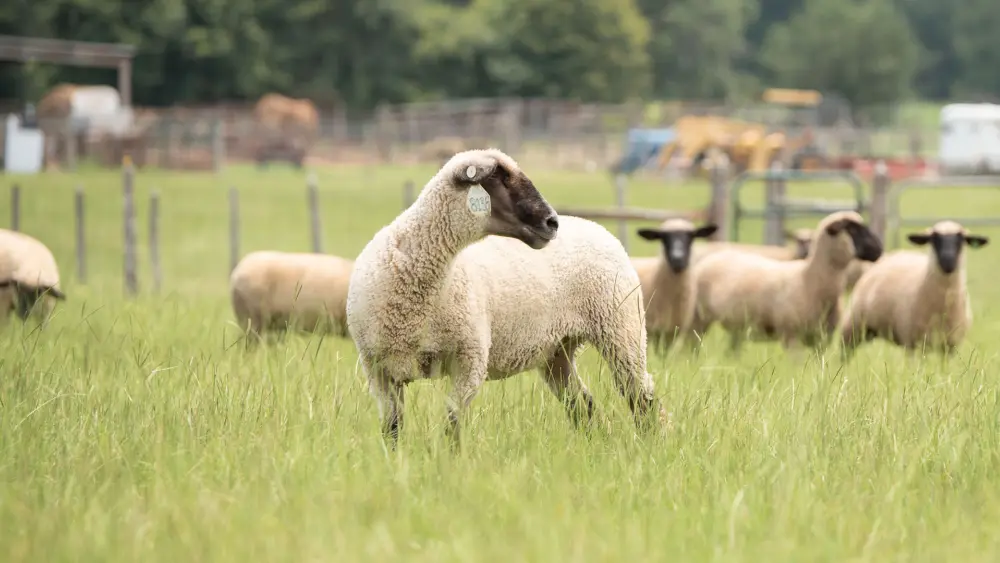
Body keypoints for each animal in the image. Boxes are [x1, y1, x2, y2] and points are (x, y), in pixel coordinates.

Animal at [346, 148, 664, 447]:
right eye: (501, 178)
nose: (552, 223)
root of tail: (599, 228)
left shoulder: (470, 360)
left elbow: (452, 423)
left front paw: (449, 462)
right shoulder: (378, 370)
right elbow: (392, 428)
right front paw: (395, 461)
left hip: (622, 329)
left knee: (640, 395)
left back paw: (649, 444)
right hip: (558, 350)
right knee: (581, 403)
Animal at [688, 211, 883, 353]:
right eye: (852, 229)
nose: (879, 249)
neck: (809, 280)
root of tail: (715, 256)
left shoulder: (822, 339)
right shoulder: (791, 336)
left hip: (736, 327)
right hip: (698, 318)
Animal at [839, 221, 988, 357]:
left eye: (961, 239)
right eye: (933, 238)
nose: (948, 260)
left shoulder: (949, 346)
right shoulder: (913, 343)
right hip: (853, 326)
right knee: (845, 354)